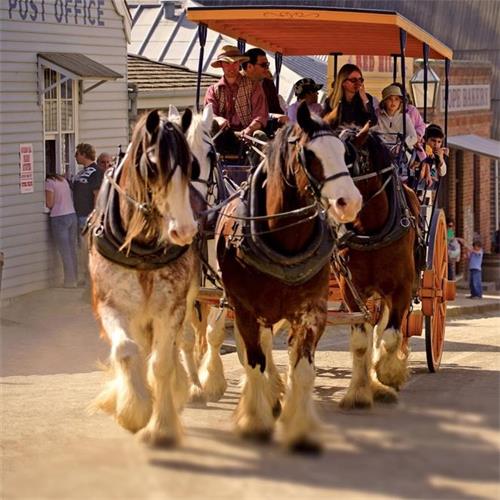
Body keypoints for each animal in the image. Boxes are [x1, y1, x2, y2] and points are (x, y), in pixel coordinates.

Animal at [89, 109, 198, 446]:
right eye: (152, 165)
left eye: (192, 165)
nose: (185, 230)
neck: (143, 247)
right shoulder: (110, 304)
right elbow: (126, 350)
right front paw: (134, 409)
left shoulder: (172, 307)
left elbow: (162, 363)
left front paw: (161, 425)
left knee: (179, 343)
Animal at [216, 102, 364, 454]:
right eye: (310, 155)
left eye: (344, 152)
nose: (350, 202)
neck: (285, 240)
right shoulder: (245, 310)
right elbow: (253, 362)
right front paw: (254, 422)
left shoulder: (311, 311)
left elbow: (303, 370)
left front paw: (300, 429)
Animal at [332, 123, 422, 408]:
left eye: (348, 162)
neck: (371, 229)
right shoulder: (351, 289)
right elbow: (361, 340)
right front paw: (359, 392)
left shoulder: (401, 288)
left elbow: (392, 336)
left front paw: (389, 375)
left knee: (386, 329)